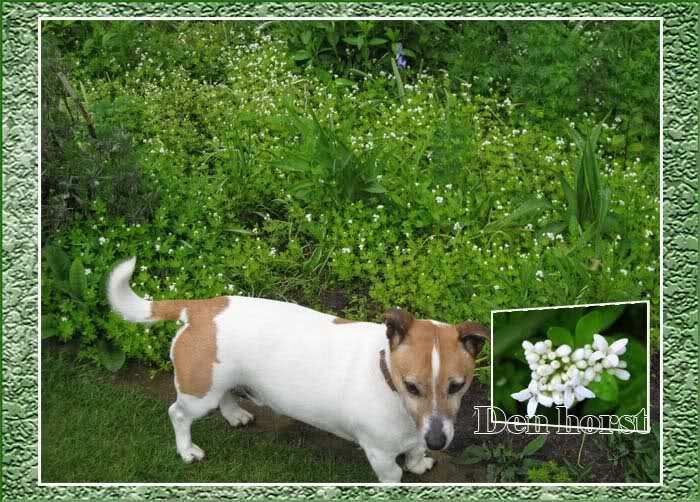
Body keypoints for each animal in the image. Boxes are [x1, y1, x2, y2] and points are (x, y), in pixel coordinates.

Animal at [106, 258, 486, 482]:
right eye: (412, 386)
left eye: (457, 385)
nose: (437, 441)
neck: (386, 377)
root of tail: (201, 308)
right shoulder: (380, 456)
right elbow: (393, 473)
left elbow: (415, 451)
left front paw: (420, 460)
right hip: (199, 392)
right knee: (178, 414)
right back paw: (187, 450)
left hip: (220, 381)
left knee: (226, 395)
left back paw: (235, 415)